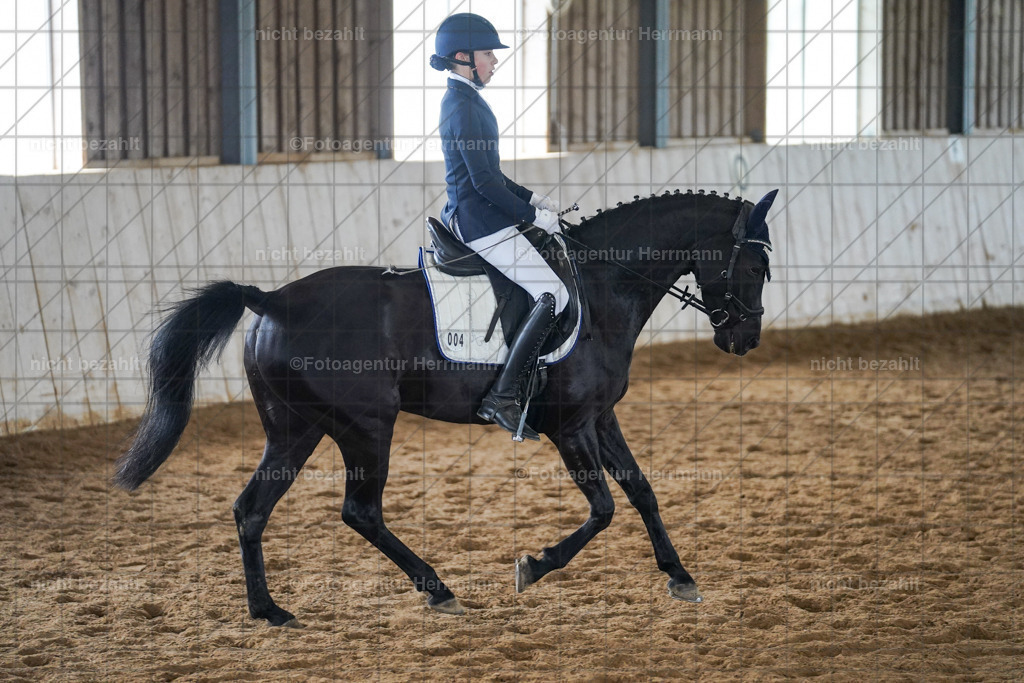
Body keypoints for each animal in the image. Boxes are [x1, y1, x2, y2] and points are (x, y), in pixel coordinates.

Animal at [113, 188, 778, 626]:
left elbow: (642, 491)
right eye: (755, 263)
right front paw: (535, 565)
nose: (744, 339)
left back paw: (268, 611)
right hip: (366, 427)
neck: (602, 287)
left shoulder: (601, 417)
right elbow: (605, 507)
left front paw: (680, 576)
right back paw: (438, 590)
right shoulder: (570, 426)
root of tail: (271, 299)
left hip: (295, 430)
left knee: (251, 509)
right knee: (360, 511)